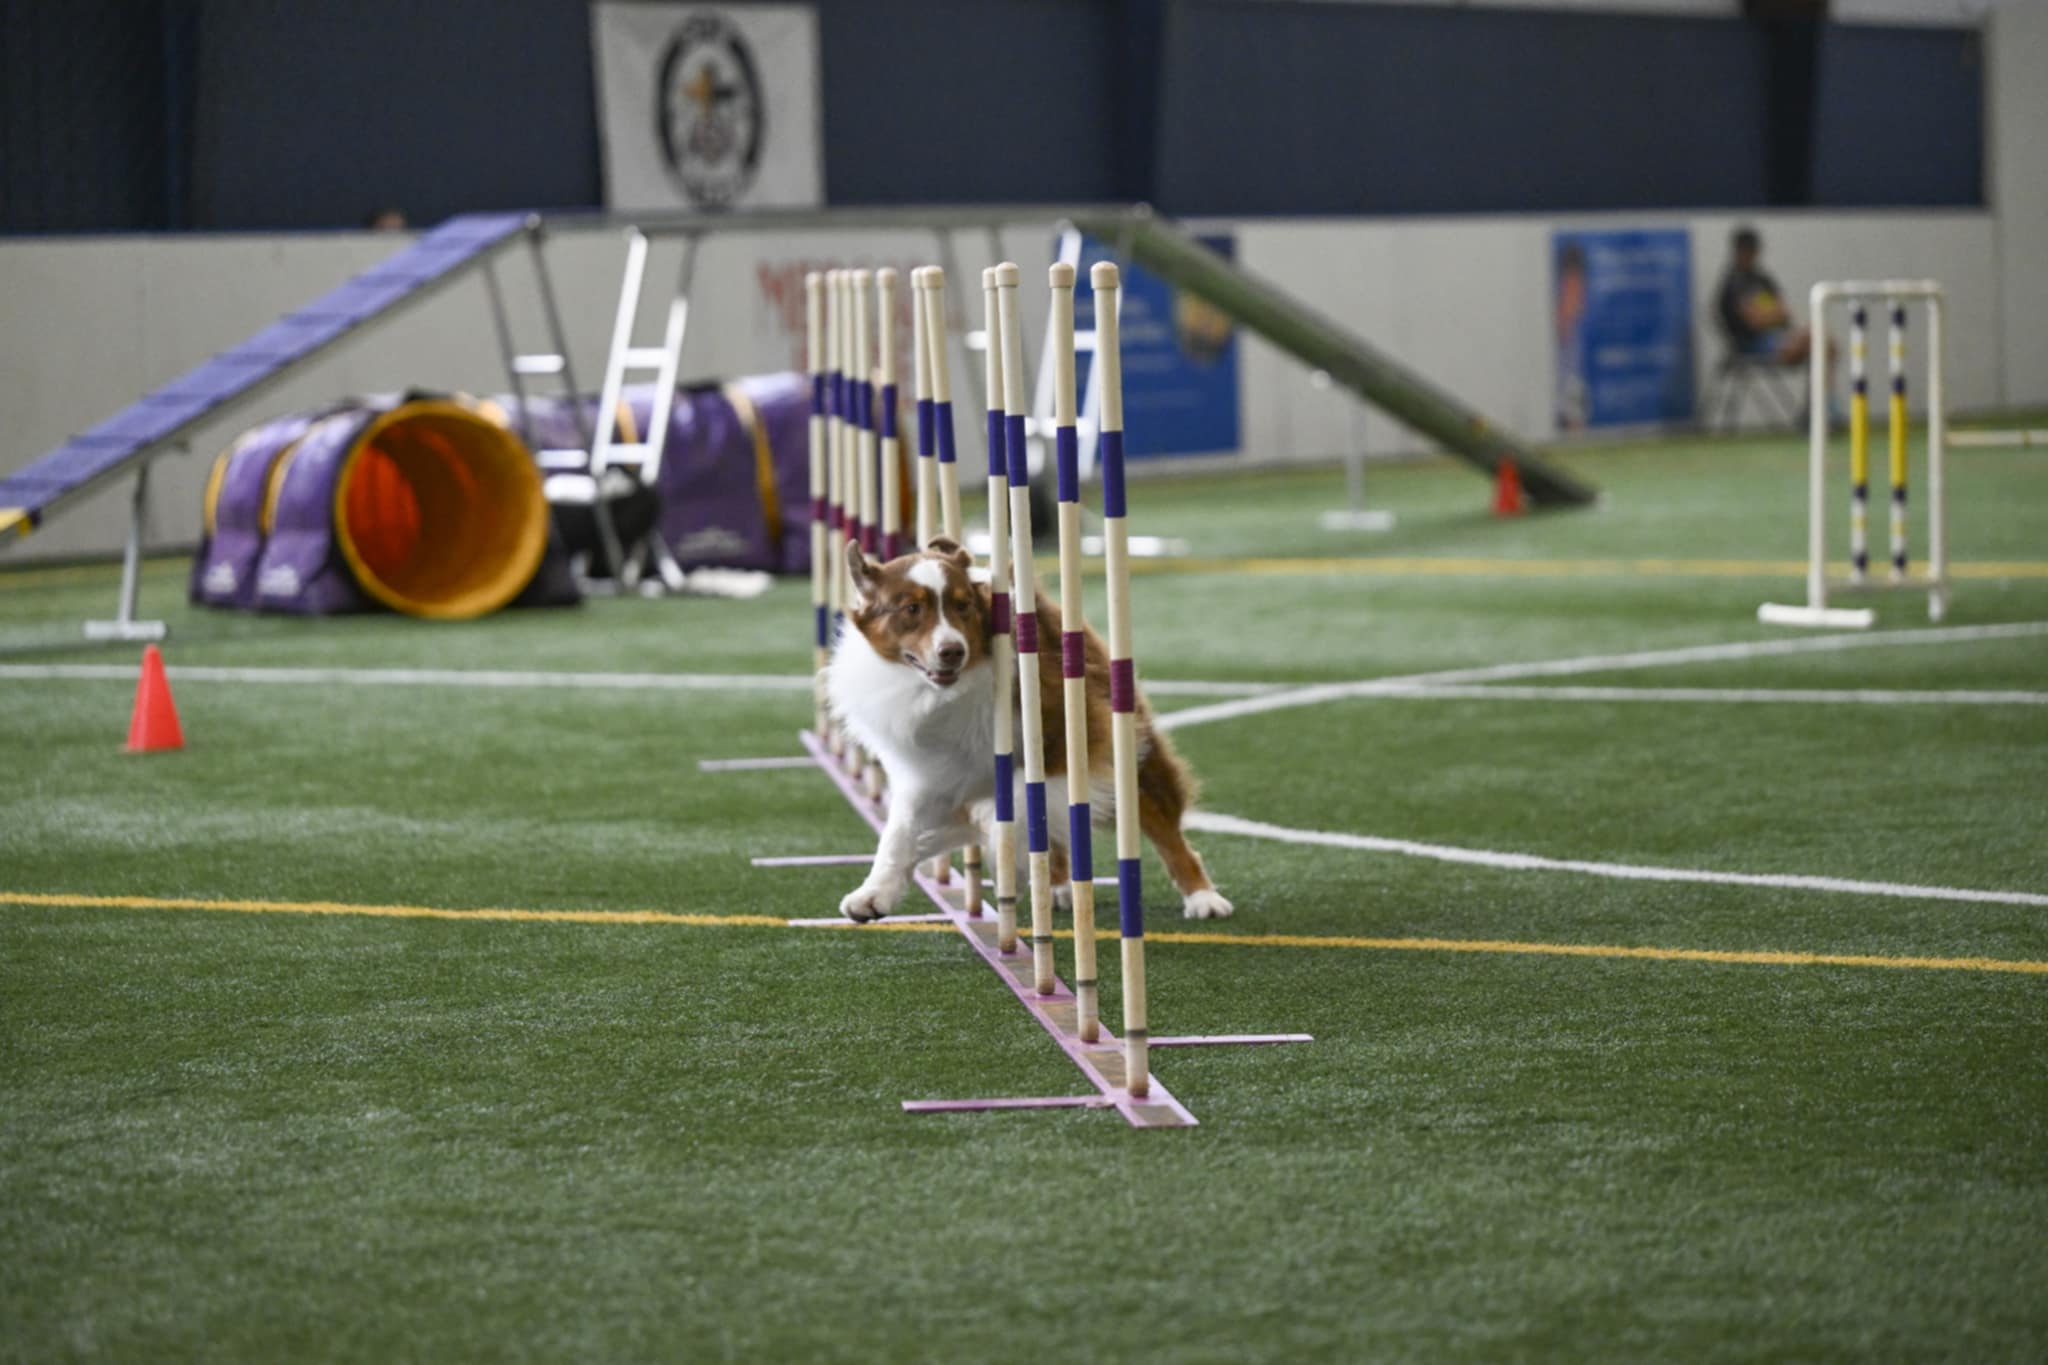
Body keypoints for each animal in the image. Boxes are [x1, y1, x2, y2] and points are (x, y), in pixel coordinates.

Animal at [826, 537, 1232, 925]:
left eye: (962, 606)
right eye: (912, 609)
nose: (952, 651)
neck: (945, 692)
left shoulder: (1066, 737)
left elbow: (1020, 800)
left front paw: (1009, 865)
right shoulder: (928, 771)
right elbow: (899, 833)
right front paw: (873, 894)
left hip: (1131, 747)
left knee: (1161, 824)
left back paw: (1204, 898)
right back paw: (1058, 886)